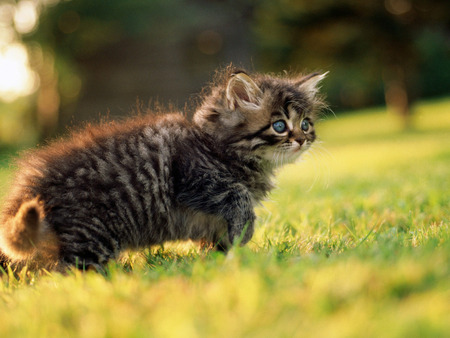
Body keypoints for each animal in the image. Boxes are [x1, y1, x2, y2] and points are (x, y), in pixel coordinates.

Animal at [0, 67, 326, 270]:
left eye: (306, 124)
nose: (302, 140)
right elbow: (237, 195)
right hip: (90, 233)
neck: (215, 146)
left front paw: (220, 257)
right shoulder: (193, 177)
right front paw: (244, 232)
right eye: (279, 126)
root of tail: (26, 189)